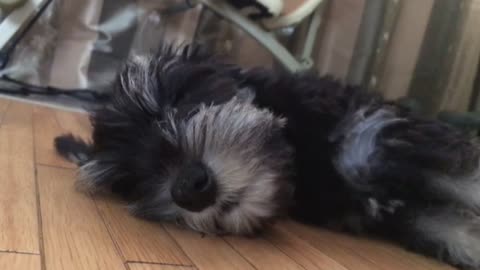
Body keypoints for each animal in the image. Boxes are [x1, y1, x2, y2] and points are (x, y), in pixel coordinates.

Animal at [54, 43, 480, 268]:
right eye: (131, 180)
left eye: (175, 102)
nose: (188, 189)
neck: (305, 163)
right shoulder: (409, 214)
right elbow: (456, 233)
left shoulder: (377, 134)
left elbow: (466, 183)